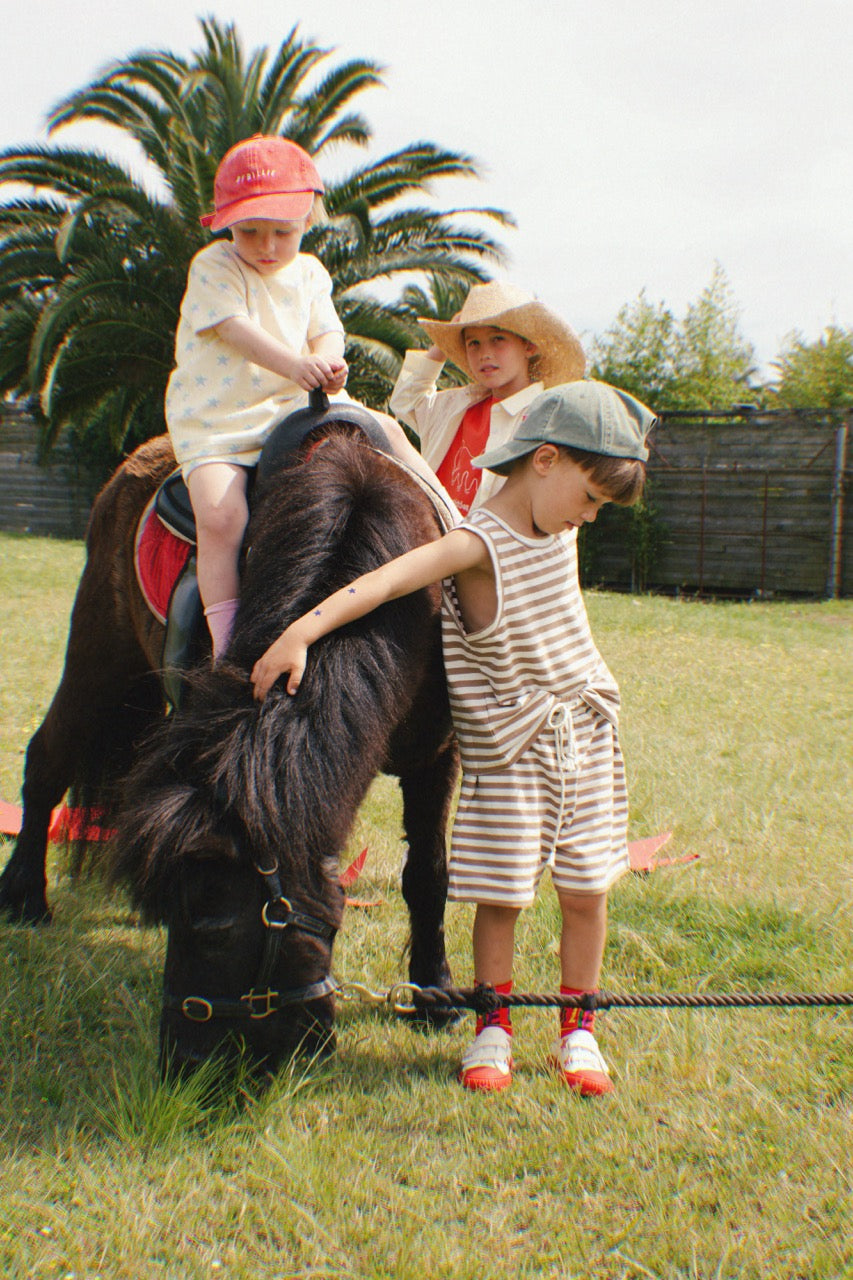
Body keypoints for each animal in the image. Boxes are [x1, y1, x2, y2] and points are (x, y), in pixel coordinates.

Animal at [0, 419, 458, 1070]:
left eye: (211, 930)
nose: (184, 1065)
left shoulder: (436, 754)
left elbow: (429, 873)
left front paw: (435, 993)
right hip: (100, 655)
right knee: (46, 762)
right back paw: (24, 898)